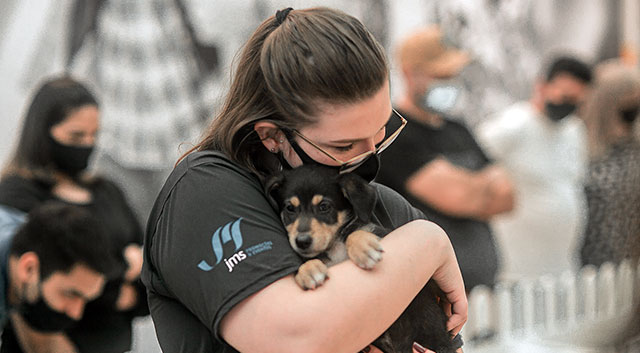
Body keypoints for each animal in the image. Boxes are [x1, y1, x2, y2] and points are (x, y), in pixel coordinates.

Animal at [264, 165, 460, 352]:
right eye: (290, 208)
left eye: (324, 207)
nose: (302, 241)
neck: (335, 246)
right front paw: (308, 271)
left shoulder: (384, 234)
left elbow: (356, 231)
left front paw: (364, 248)